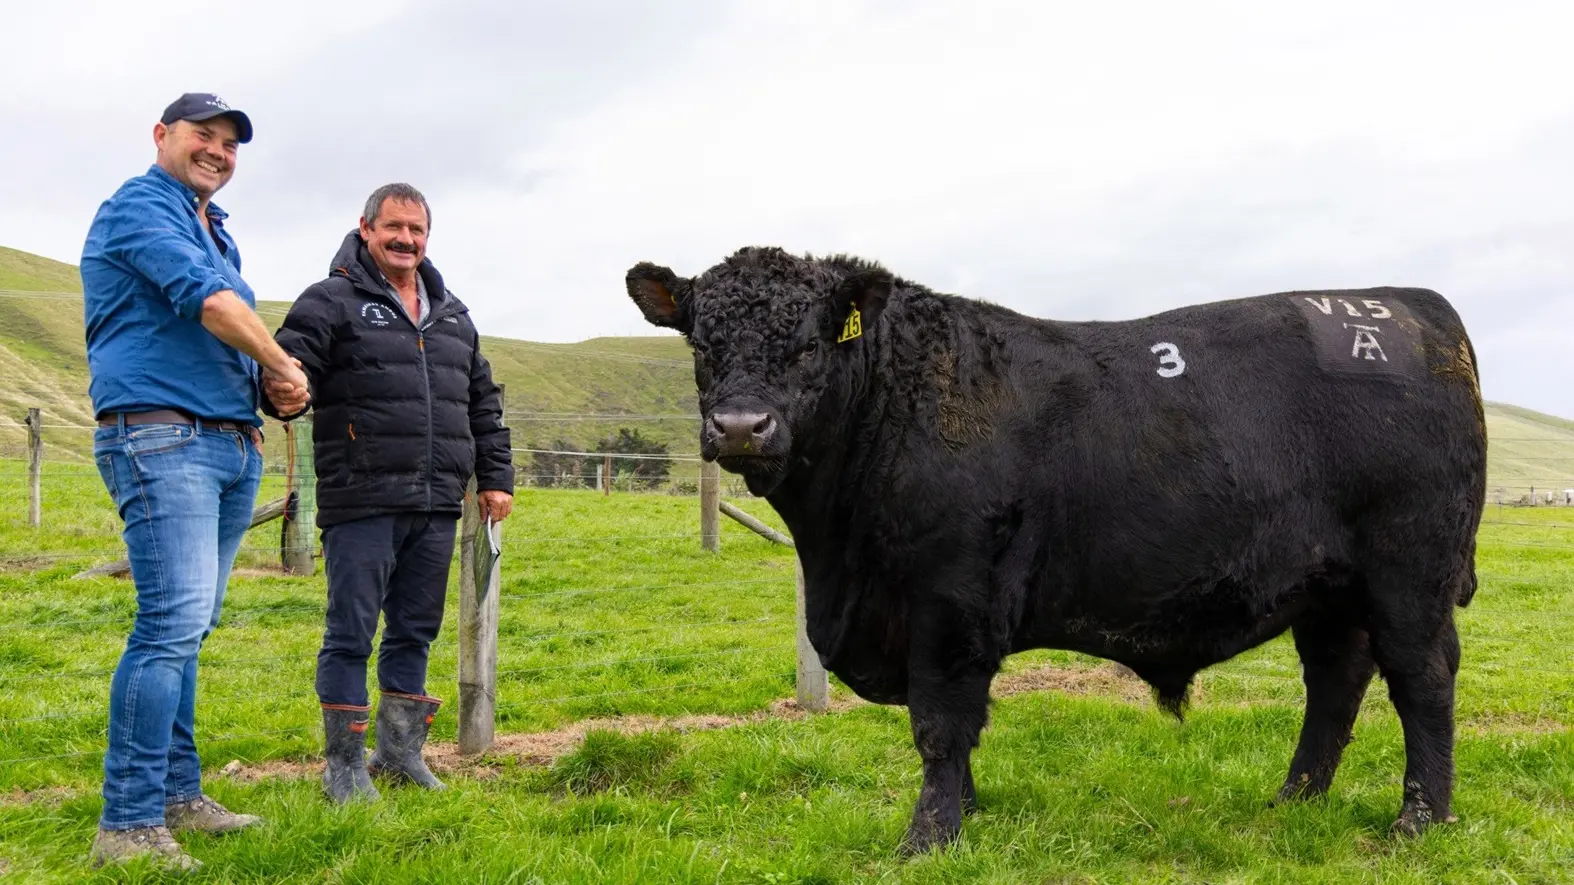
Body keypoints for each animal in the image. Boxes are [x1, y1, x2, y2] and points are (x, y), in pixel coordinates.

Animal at [624, 247, 1487, 855]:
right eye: (701, 345)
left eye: (807, 347)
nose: (741, 425)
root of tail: (1417, 309)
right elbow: (956, 731)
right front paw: (968, 813)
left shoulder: (949, 603)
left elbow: (940, 723)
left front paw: (929, 837)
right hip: (1327, 587)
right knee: (1336, 680)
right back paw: (1294, 798)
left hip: (1409, 574)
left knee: (1421, 680)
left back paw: (1420, 820)